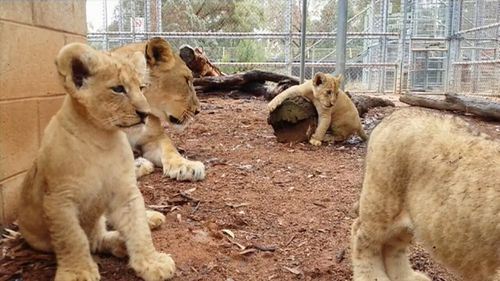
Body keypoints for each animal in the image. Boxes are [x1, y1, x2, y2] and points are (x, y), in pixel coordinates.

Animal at [113, 37, 205, 179]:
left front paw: (187, 166)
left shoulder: (154, 137)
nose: (198, 111)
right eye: (186, 80)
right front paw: (139, 164)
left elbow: (170, 149)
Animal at [352, 107, 500, 280]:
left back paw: (408, 277)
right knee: (362, 236)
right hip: (381, 202)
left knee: (393, 246)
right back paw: (372, 277)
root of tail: (395, 114)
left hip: (409, 217)